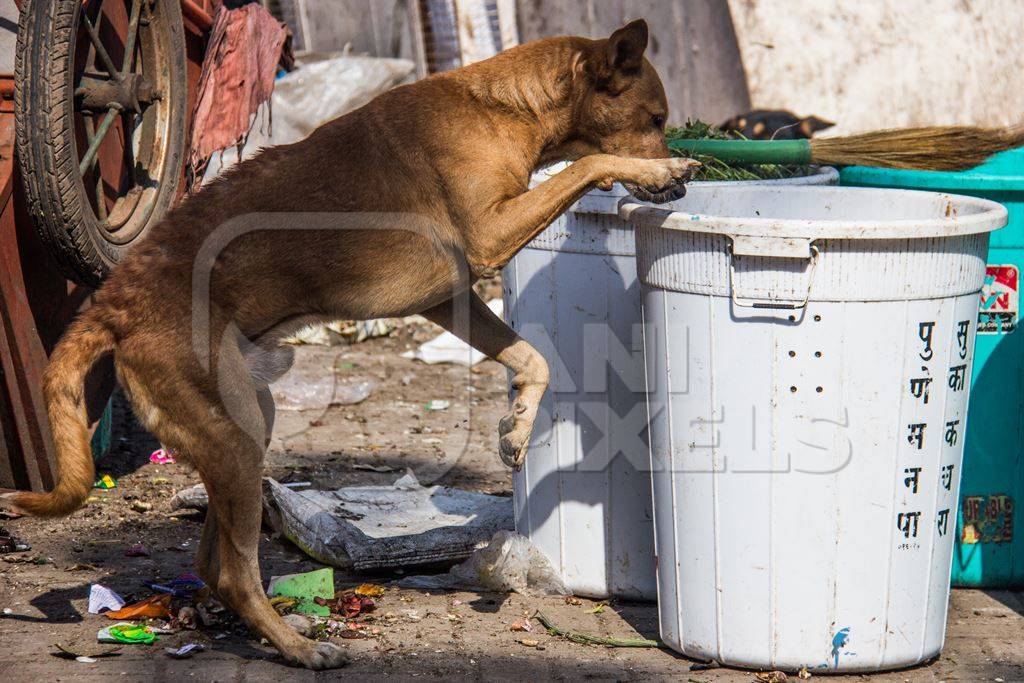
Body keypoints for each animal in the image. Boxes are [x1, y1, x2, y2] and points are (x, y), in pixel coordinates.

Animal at [2, 20, 696, 667]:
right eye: (657, 119)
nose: (681, 189)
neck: (506, 108)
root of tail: (112, 302)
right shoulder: (490, 236)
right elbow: (588, 163)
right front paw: (660, 166)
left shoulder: (449, 297)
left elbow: (534, 359)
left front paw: (518, 428)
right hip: (231, 436)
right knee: (233, 571)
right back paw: (300, 648)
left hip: (247, 421)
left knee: (214, 563)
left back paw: (274, 626)